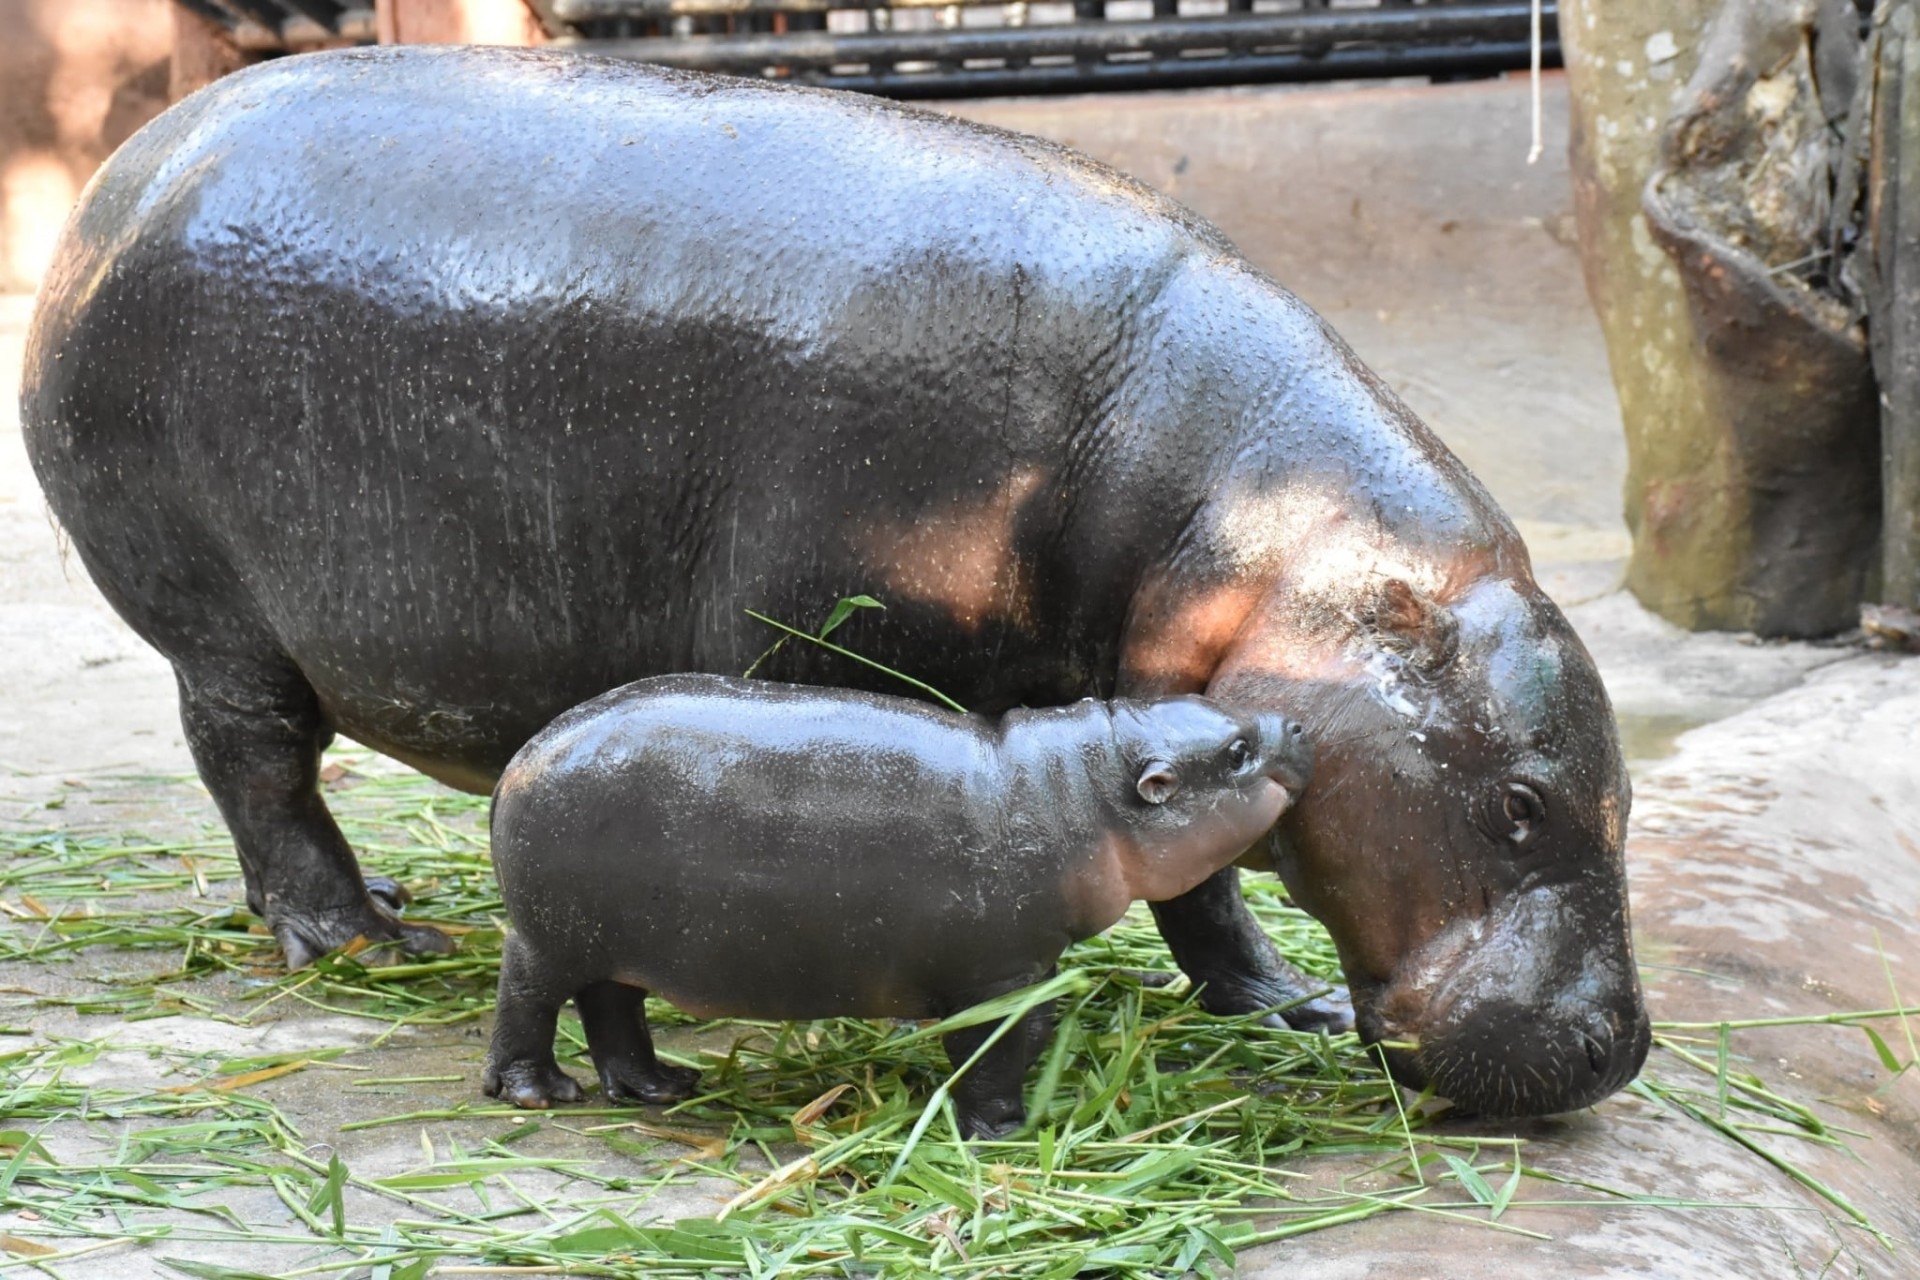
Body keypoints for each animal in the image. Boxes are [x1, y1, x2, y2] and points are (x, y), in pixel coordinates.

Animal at [487, 675, 1313, 1136]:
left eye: (1220, 709)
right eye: (1238, 752)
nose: (1299, 721)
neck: (1079, 790)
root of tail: (521, 759)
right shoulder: (1002, 974)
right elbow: (1001, 1045)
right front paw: (1008, 1131)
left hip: (609, 939)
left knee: (610, 1005)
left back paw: (658, 1088)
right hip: (548, 938)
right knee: (526, 1001)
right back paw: (538, 1093)